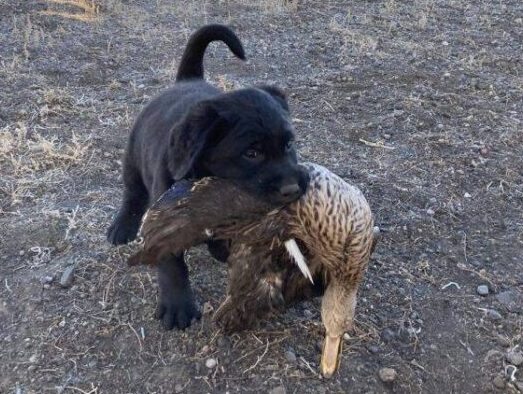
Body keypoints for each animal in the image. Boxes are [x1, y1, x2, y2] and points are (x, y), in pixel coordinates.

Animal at [108, 24, 310, 330]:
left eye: (289, 145)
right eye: (252, 153)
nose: (293, 188)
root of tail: (186, 80)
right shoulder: (163, 222)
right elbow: (172, 264)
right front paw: (178, 306)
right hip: (133, 159)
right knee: (132, 194)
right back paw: (122, 227)